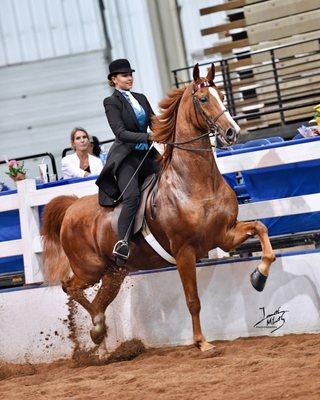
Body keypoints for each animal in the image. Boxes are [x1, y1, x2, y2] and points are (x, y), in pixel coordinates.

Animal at [40, 64, 276, 352]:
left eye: (220, 94)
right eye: (203, 99)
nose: (232, 132)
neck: (194, 184)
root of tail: (72, 206)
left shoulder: (224, 235)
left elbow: (262, 230)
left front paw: (258, 277)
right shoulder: (184, 251)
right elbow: (193, 300)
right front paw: (202, 343)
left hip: (113, 272)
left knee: (98, 300)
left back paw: (100, 337)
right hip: (89, 269)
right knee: (69, 287)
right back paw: (96, 329)